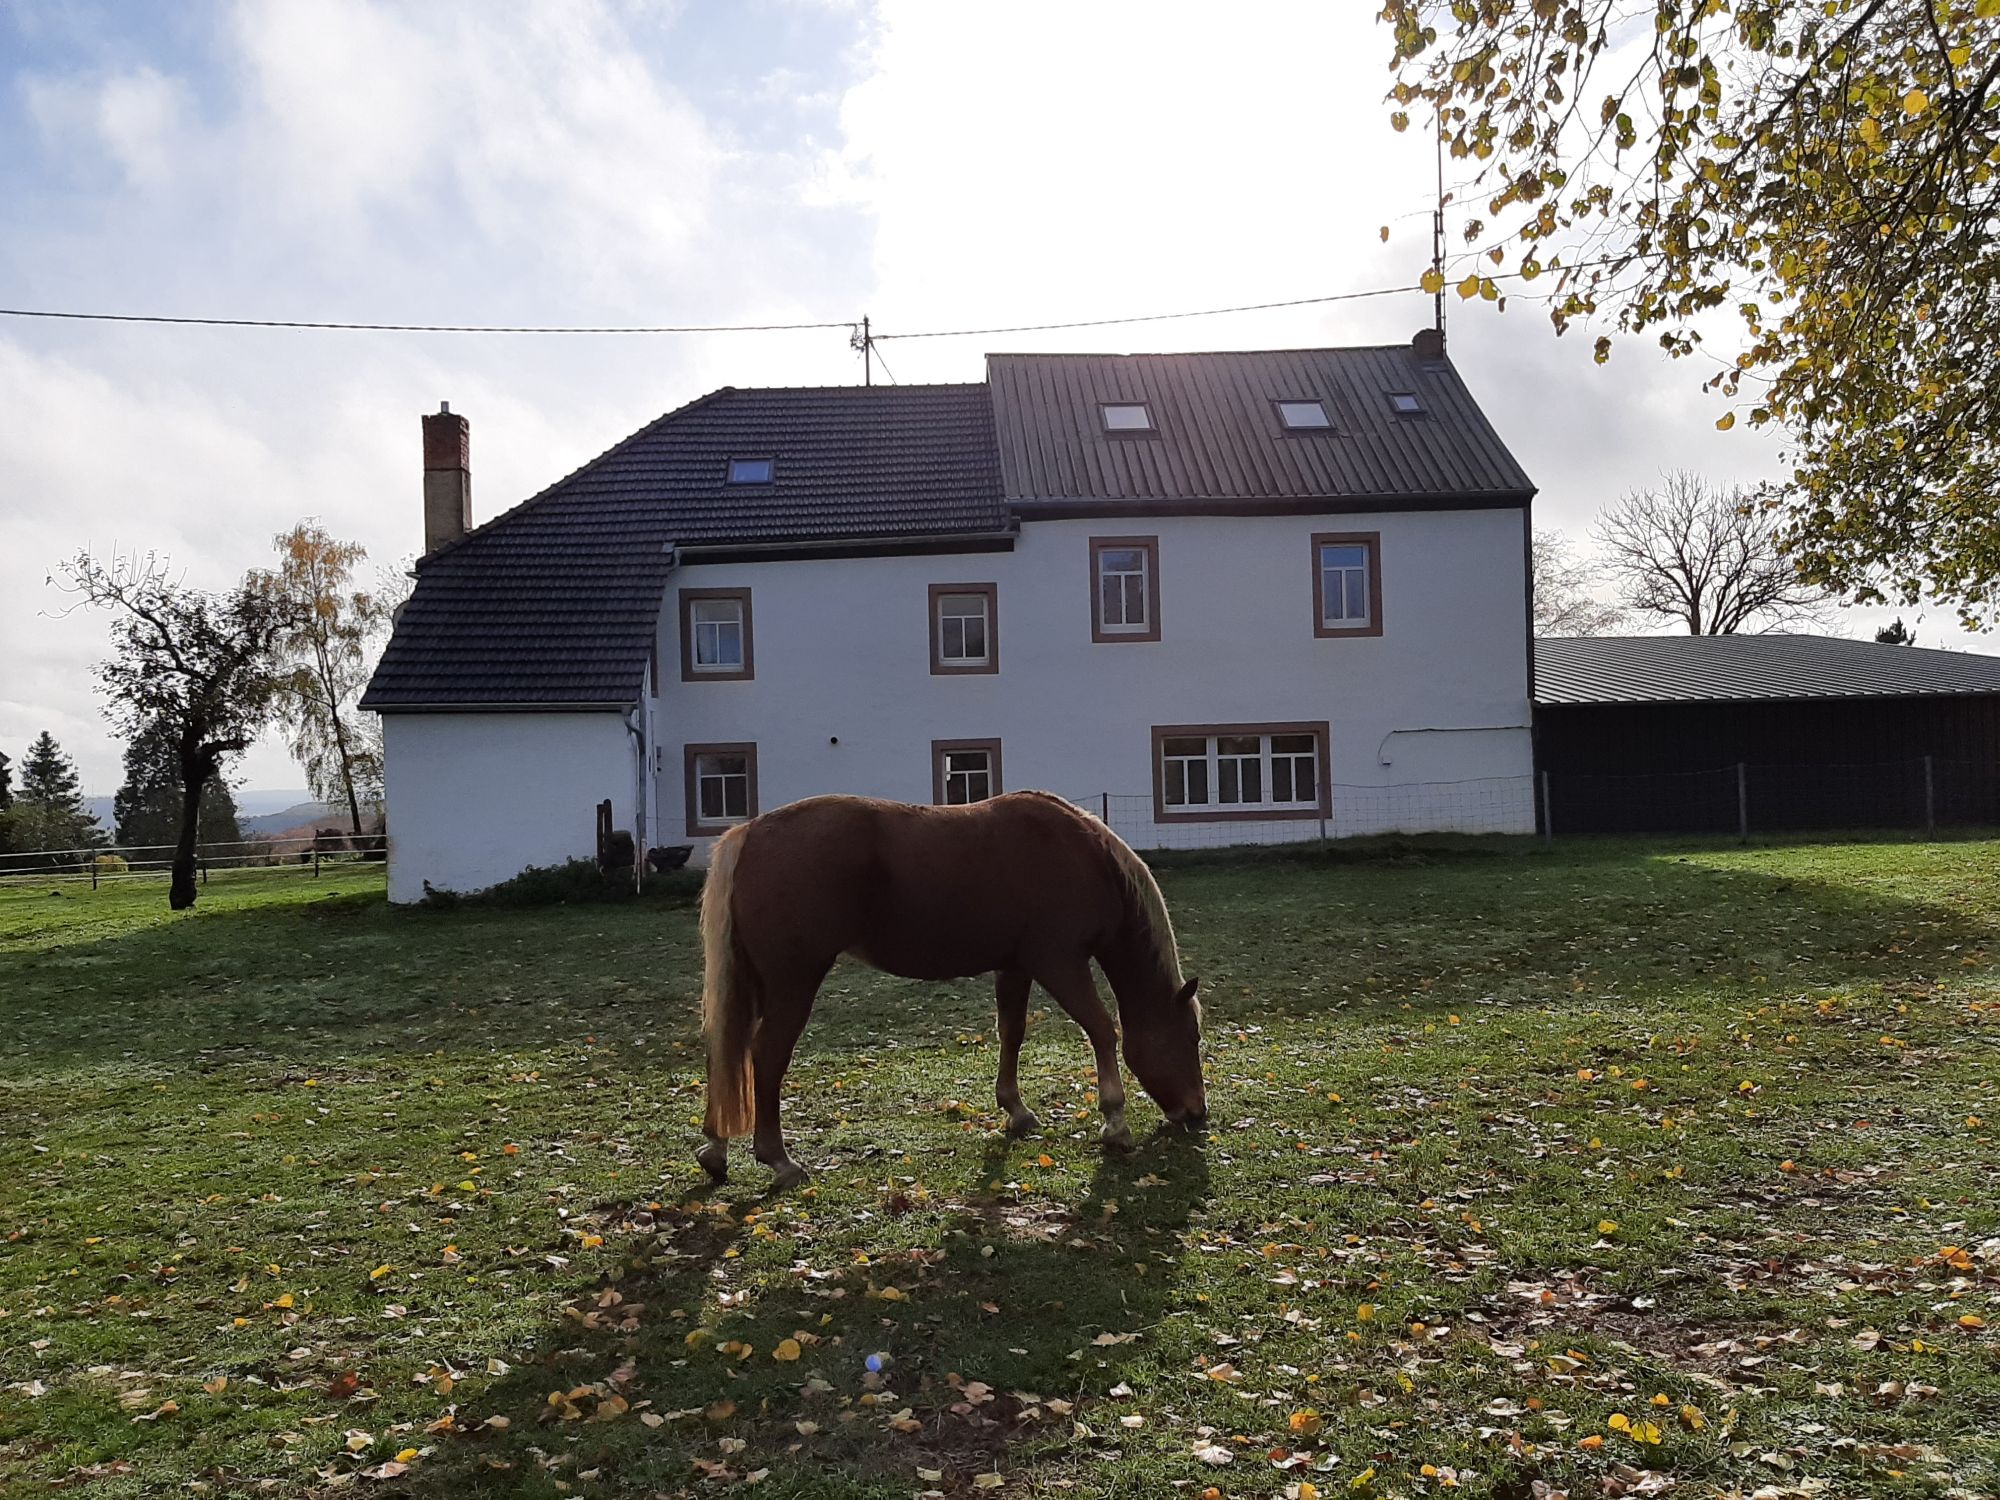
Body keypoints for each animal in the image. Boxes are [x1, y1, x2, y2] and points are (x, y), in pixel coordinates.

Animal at [696, 792, 1208, 1192]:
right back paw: (778, 1160)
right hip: (793, 983)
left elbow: (1012, 1032)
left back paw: (715, 1150)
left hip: (758, 984)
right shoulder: (1060, 964)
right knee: (766, 1057)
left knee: (728, 1053)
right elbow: (1102, 1030)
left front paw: (1016, 1111)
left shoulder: (1015, 966)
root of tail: (750, 834)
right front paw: (1115, 1122)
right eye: (1192, 1038)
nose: (1197, 1114)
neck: (1083, 857)